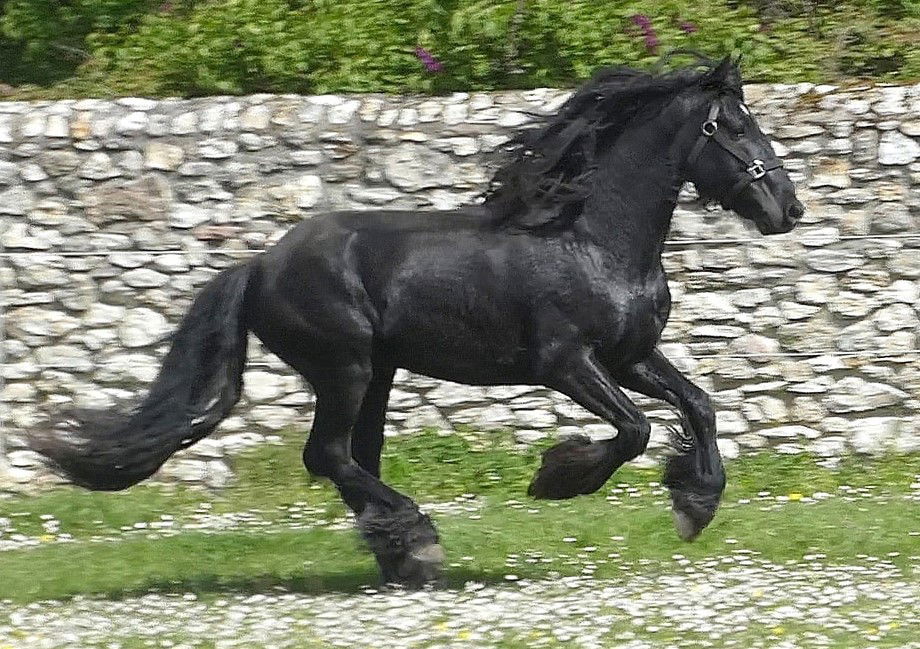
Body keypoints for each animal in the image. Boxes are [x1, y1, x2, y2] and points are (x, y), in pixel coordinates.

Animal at [32, 55, 804, 586]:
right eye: (733, 127)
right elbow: (636, 428)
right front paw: (558, 477)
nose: (788, 210)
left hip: (378, 372)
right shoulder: (566, 363)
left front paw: (695, 503)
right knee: (330, 455)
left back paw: (399, 554)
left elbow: (698, 405)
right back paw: (418, 539)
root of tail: (258, 266)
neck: (592, 239)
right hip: (344, 366)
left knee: (353, 458)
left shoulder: (630, 355)